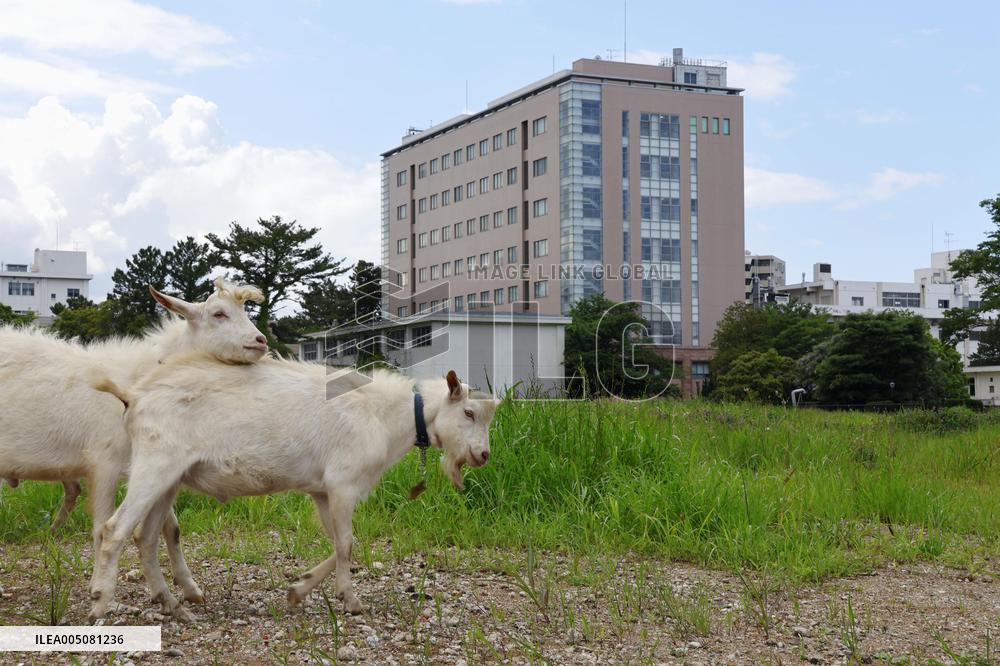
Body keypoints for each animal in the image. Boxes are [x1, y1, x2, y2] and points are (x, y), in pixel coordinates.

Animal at [0, 278, 267, 613]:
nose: (261, 341)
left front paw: (187, 588)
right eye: (219, 314)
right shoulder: (104, 462)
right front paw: (99, 592)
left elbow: (169, 529)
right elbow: (102, 527)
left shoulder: (151, 465)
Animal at [87, 362, 497, 623]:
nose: (483, 455)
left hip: (169, 478)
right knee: (115, 530)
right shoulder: (344, 484)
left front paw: (298, 590)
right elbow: (347, 544)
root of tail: (134, 395)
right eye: (469, 413)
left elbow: (339, 544)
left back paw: (175, 607)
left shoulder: (323, 492)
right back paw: (100, 603)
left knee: (146, 537)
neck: (383, 414)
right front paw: (351, 601)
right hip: (155, 465)